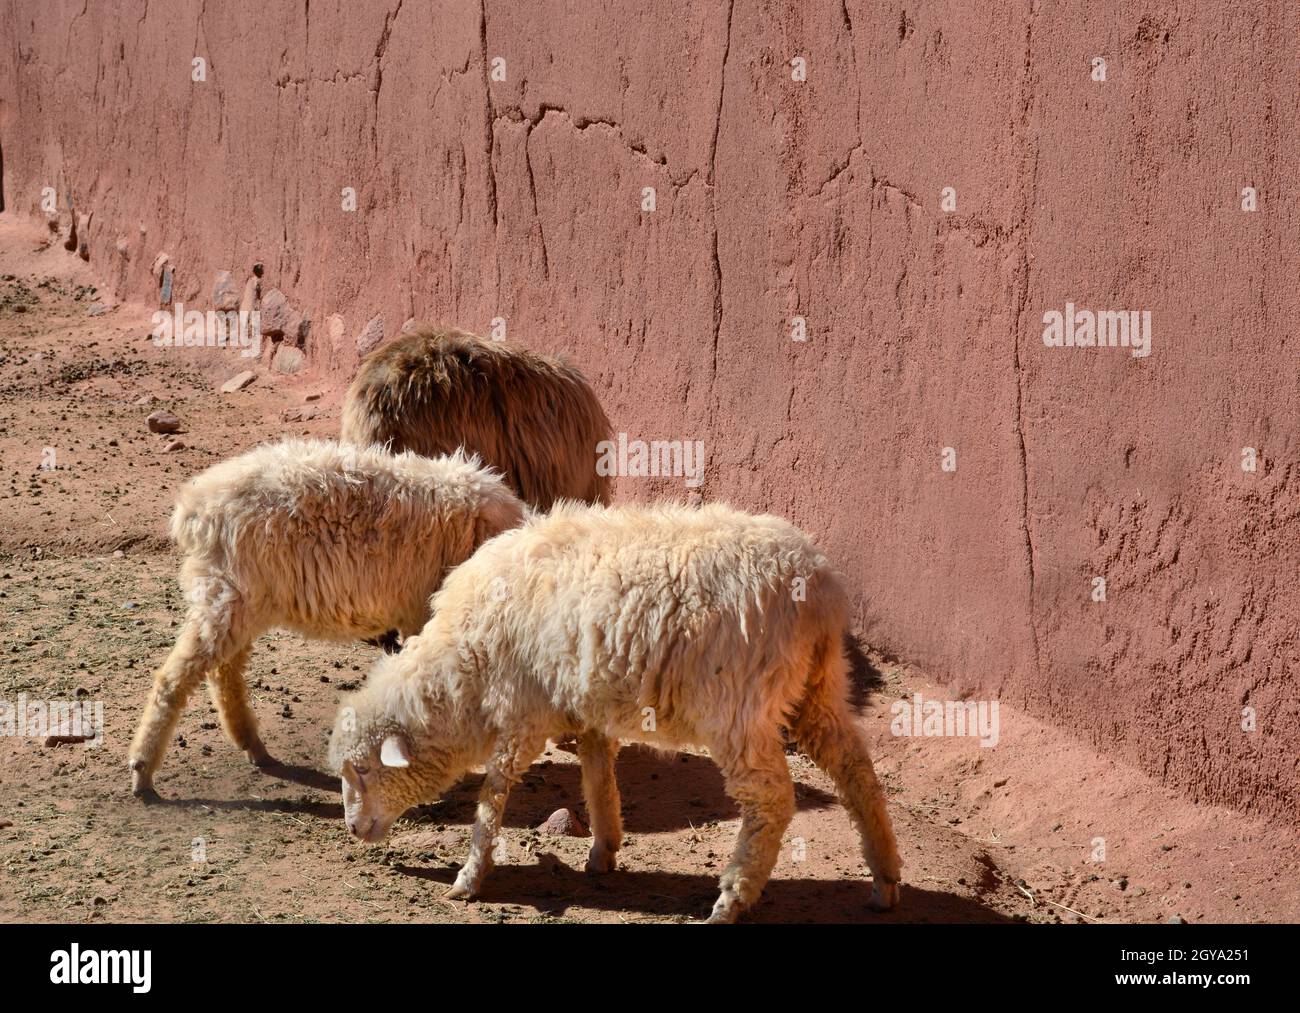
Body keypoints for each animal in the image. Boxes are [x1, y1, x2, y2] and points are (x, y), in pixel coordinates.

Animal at [128, 438, 526, 800]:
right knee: (176, 676)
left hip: (237, 602)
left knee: (224, 673)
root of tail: (195, 506)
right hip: (227, 597)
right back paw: (143, 772)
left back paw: (253, 747)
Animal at [328, 502, 902, 923]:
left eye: (364, 772)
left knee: (772, 801)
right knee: (857, 773)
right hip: (818, 691)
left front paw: (470, 876)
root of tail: (819, 586)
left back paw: (733, 897)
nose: (352, 831)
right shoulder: (581, 708)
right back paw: (886, 878)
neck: (463, 664)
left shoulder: (520, 713)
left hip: (741, 709)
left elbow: (494, 795)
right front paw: (604, 849)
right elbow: (597, 773)